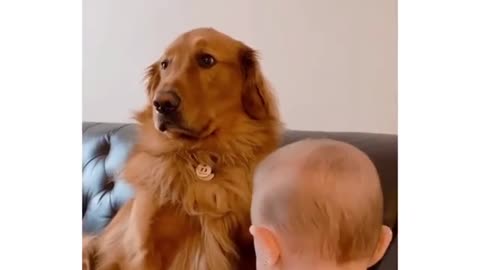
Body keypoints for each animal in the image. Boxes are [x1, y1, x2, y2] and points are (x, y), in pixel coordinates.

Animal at [82, 28, 284, 270]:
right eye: (165, 64)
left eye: (206, 60)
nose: (161, 104)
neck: (203, 156)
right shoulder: (146, 247)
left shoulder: (250, 248)